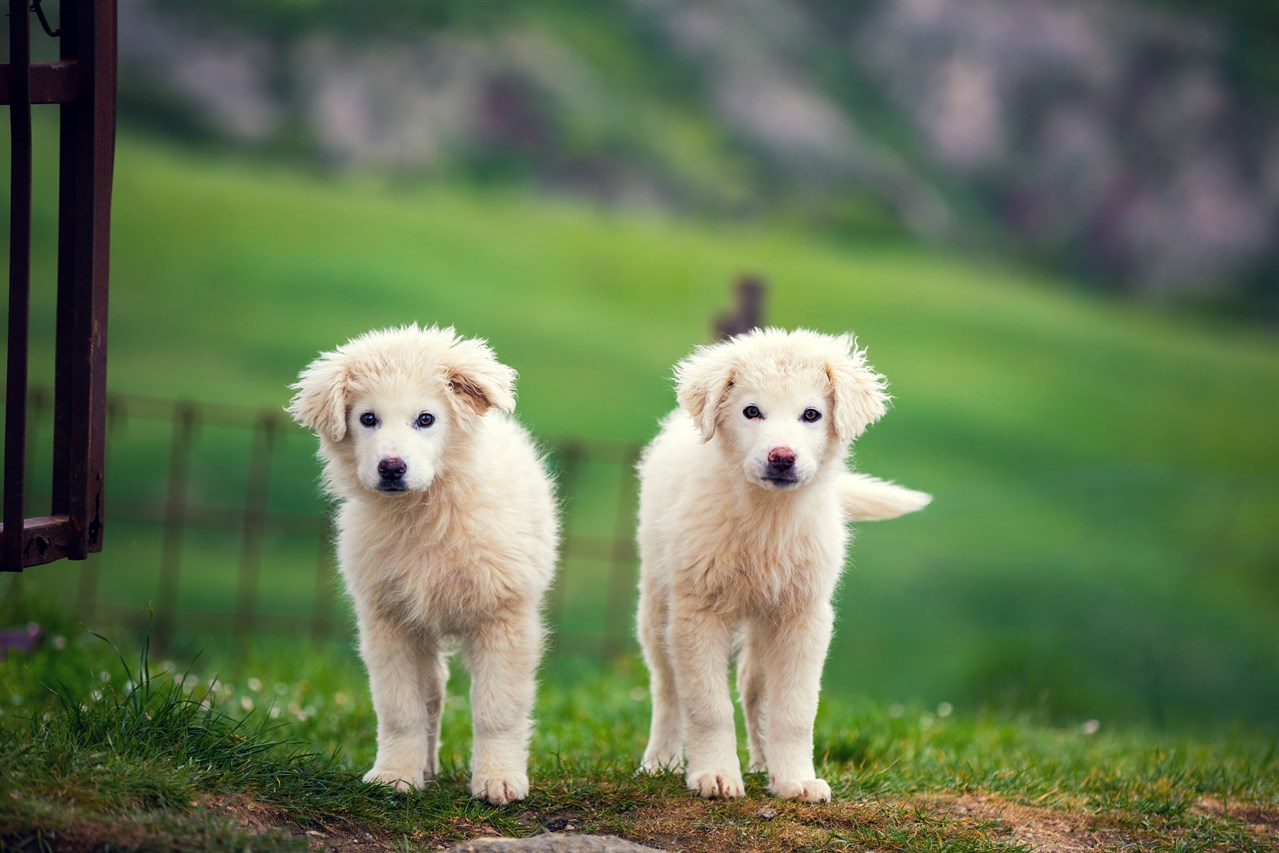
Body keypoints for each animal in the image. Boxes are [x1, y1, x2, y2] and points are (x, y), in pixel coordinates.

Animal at [291, 323, 560, 803]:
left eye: (426, 419)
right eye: (368, 419)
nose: (391, 468)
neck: (426, 512)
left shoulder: (503, 616)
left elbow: (497, 708)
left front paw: (498, 779)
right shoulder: (389, 620)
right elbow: (400, 708)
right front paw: (395, 775)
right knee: (433, 694)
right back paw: (426, 766)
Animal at [636, 324, 931, 803]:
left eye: (811, 414)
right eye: (751, 411)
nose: (781, 457)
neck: (768, 519)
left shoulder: (803, 615)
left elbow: (793, 708)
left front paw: (795, 779)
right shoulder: (698, 611)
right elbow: (707, 705)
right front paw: (715, 775)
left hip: (764, 620)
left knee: (754, 689)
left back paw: (763, 764)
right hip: (658, 598)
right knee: (666, 686)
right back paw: (661, 760)